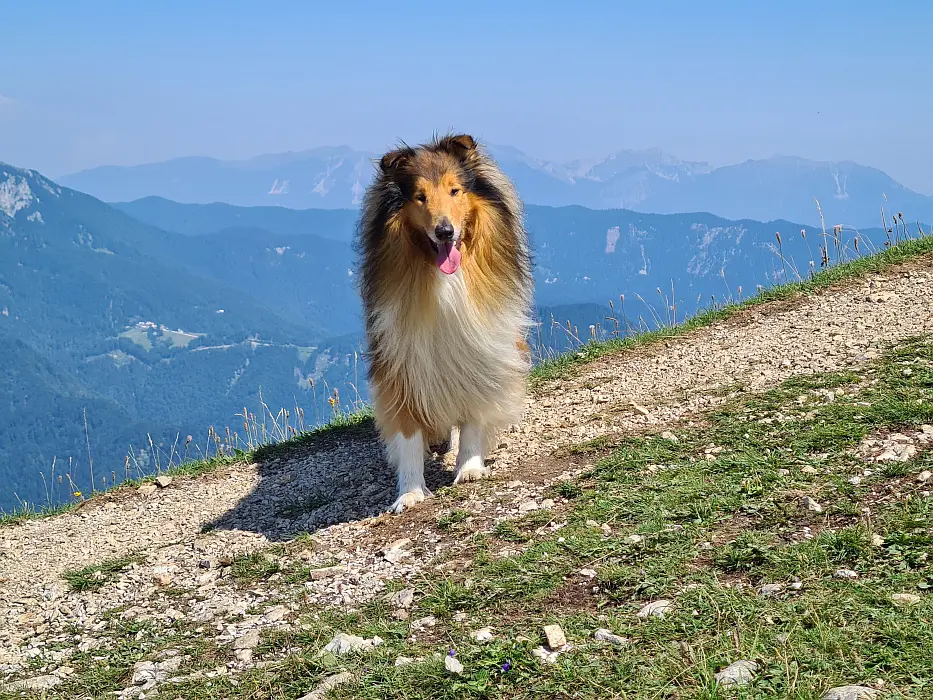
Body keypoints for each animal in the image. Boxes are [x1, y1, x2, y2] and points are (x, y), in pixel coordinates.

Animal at [354, 133, 532, 516]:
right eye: (419, 196)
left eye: (455, 190)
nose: (445, 231)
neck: (441, 279)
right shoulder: (399, 355)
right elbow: (407, 429)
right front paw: (409, 492)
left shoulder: (482, 346)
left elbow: (474, 414)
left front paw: (469, 467)